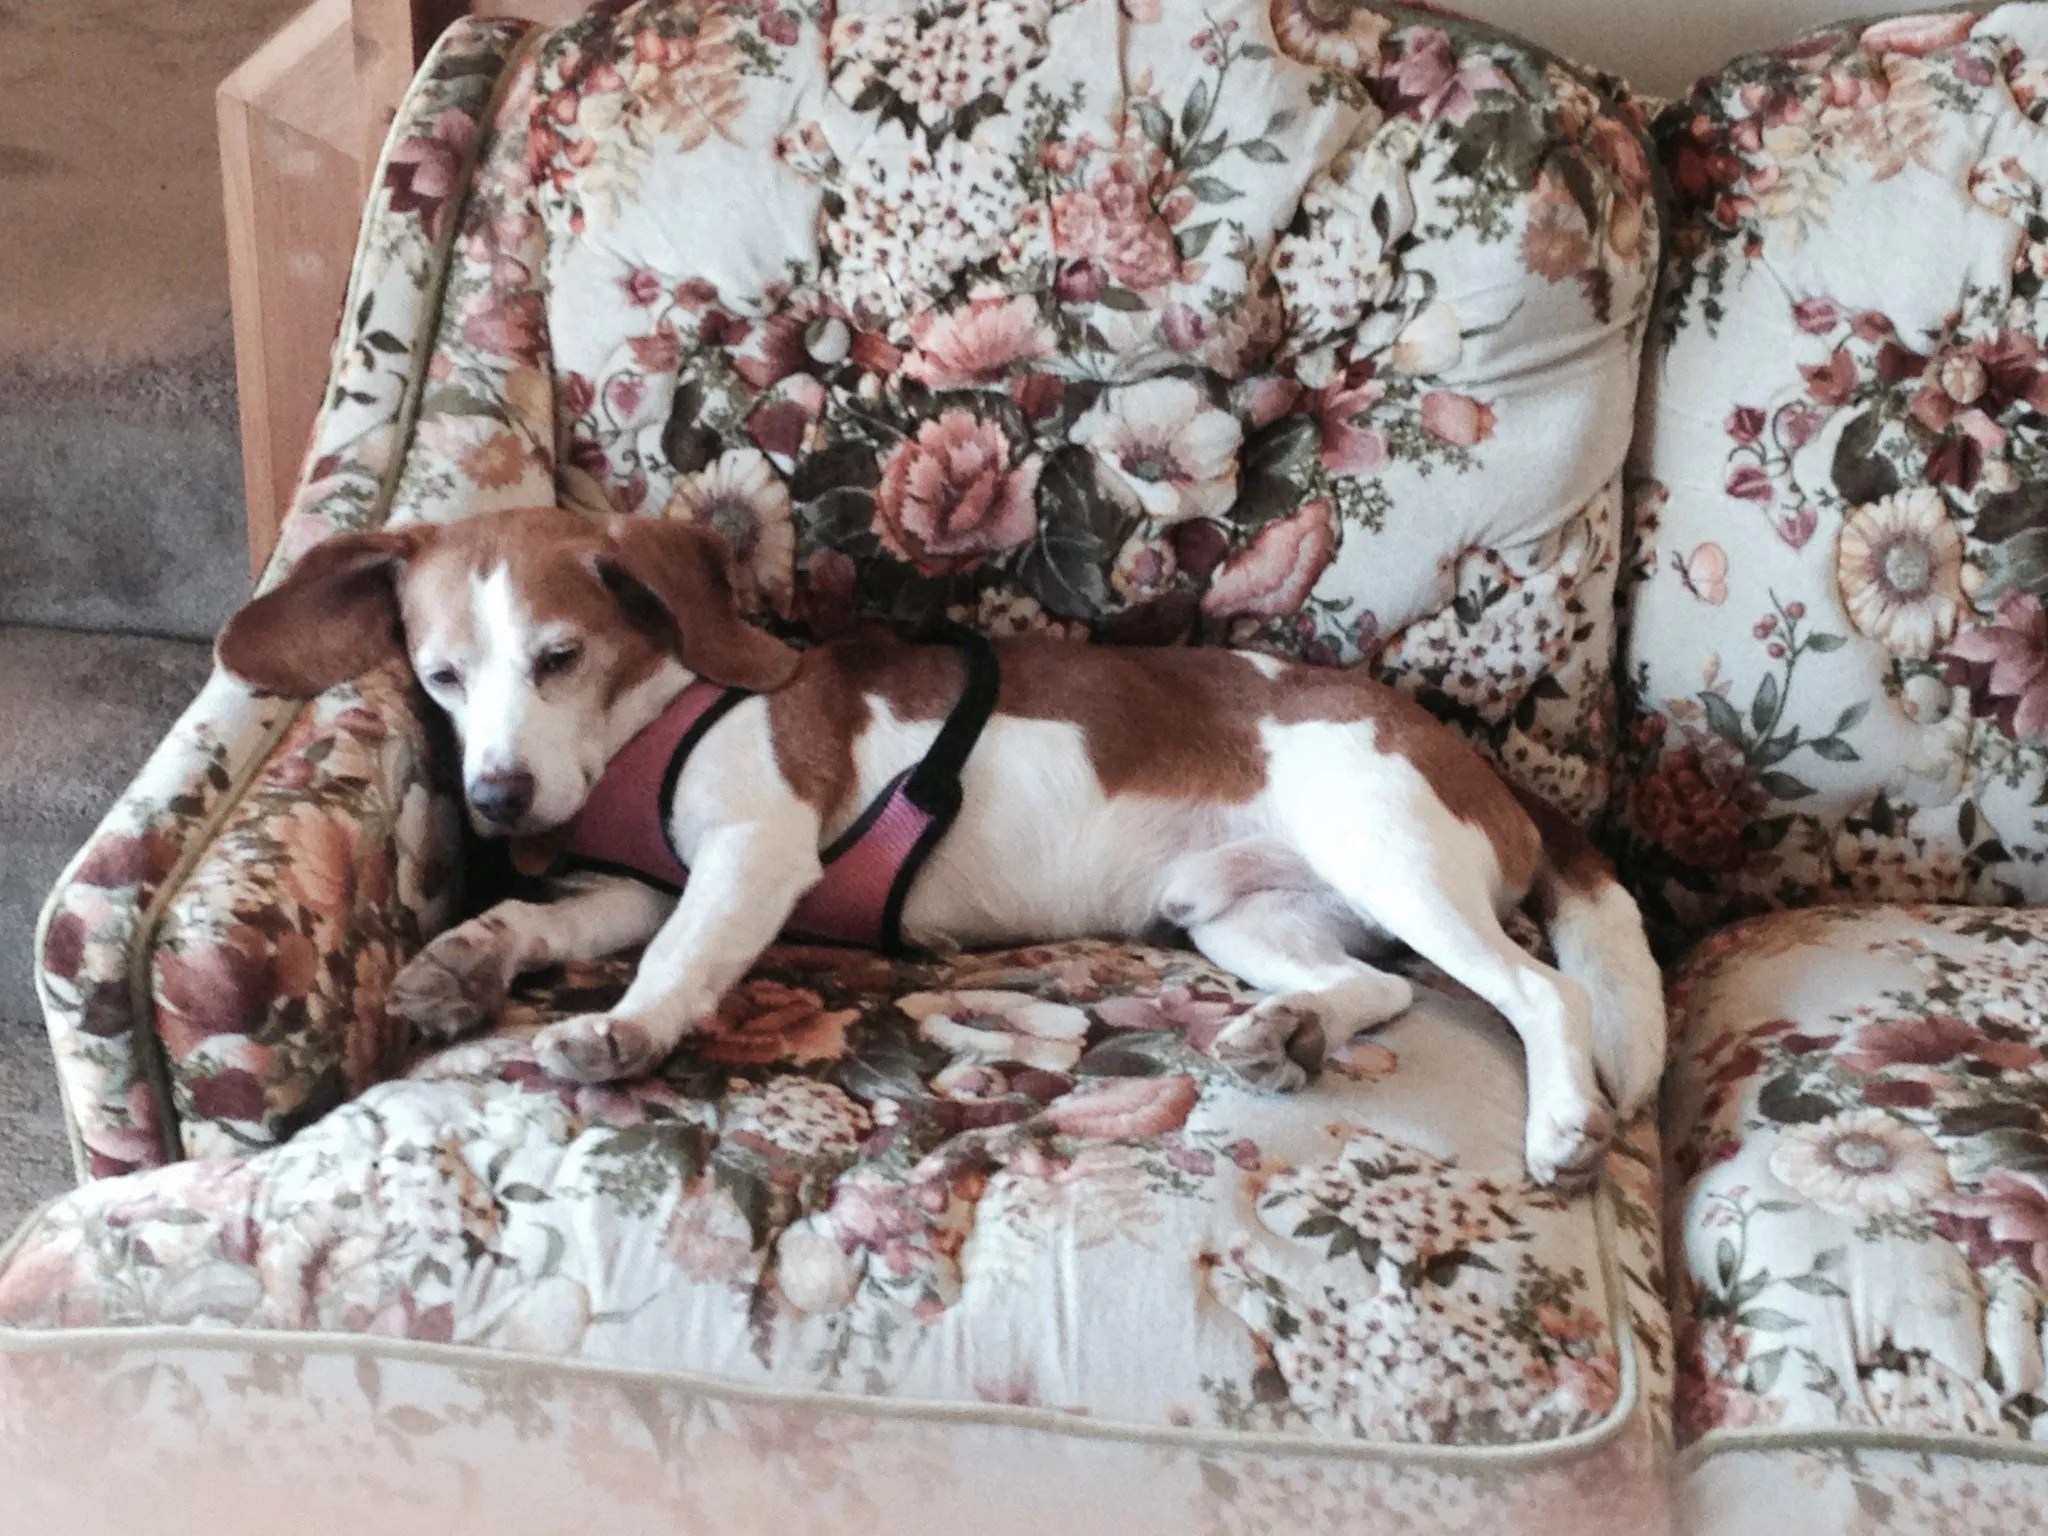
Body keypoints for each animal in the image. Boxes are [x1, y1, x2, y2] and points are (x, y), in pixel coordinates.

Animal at [218, 505, 1665, 1187]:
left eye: (558, 657)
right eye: (440, 677)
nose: (500, 799)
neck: (661, 715)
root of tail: (1474, 757)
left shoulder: (751, 856)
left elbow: (679, 962)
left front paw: (624, 1030)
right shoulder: (631, 884)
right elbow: (543, 921)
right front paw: (466, 957)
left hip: (1391, 858)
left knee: (1535, 991)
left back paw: (1560, 1124)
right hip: (1238, 913)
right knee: (1371, 988)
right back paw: (1290, 1034)